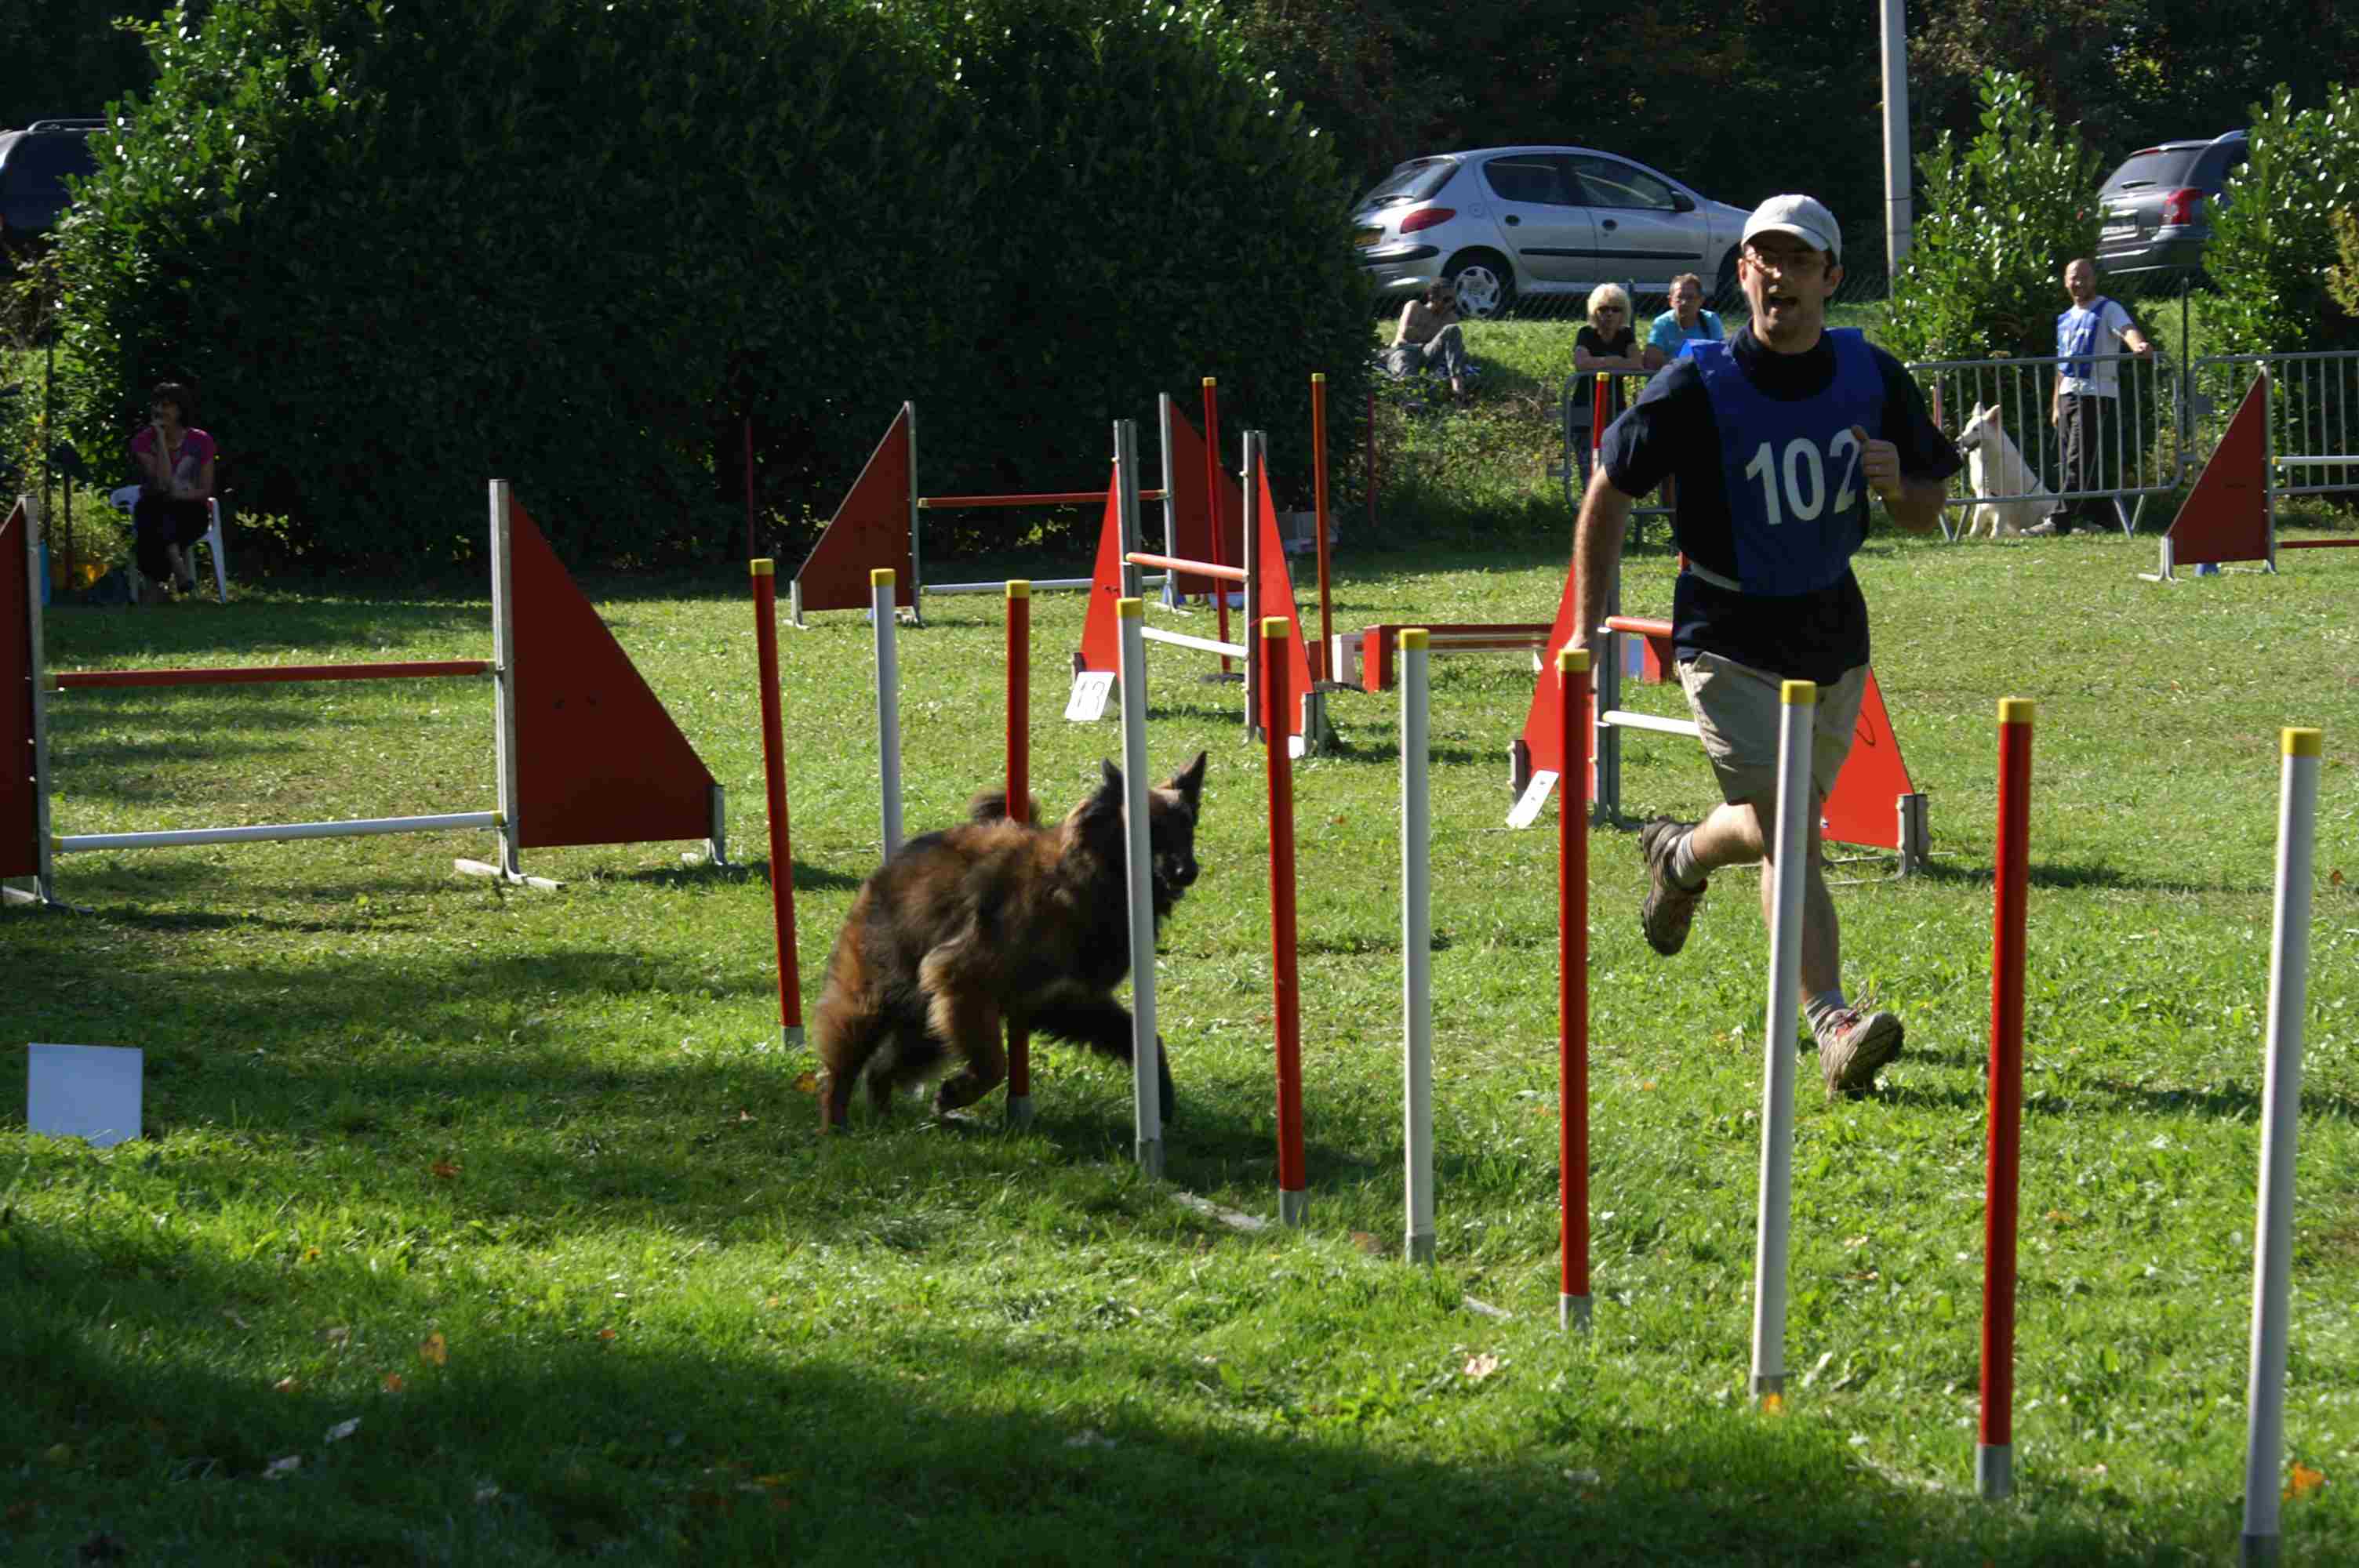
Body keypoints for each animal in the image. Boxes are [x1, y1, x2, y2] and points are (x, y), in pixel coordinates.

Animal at [811, 751, 1208, 1129]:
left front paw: (1163, 1097)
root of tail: (895, 863)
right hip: (876, 1004)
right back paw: (836, 1127)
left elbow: (1144, 1041)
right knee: (842, 1070)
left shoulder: (1067, 998)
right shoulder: (964, 981)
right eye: (1151, 829)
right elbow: (993, 1064)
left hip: (927, 1028)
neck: (1083, 882)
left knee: (881, 1071)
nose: (1188, 872)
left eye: (1188, 827)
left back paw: (886, 1121)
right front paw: (959, 1092)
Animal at [1954, 402, 2058, 539]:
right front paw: (1972, 536)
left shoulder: (2004, 497)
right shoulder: (1982, 495)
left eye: (1975, 429)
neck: (1987, 460)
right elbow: (1977, 520)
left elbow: (1998, 522)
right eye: (1966, 428)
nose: (1956, 442)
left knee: (2048, 523)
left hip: (2041, 501)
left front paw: (1994, 538)